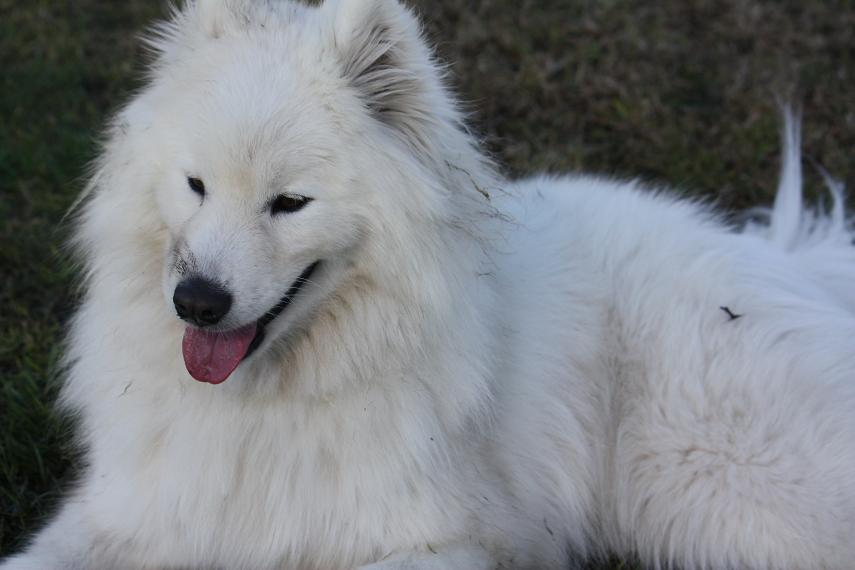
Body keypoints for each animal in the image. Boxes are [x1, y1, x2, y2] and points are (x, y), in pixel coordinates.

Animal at [3, 0, 854, 568]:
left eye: (289, 203)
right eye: (195, 186)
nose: (198, 302)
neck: (271, 401)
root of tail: (794, 263)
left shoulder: (441, 538)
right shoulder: (130, 514)